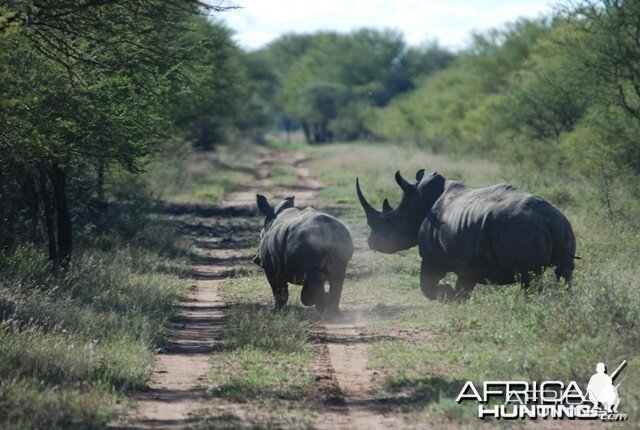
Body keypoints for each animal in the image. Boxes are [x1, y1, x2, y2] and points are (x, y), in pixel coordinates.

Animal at [358, 169, 576, 298]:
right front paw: (455, 296)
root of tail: (546, 217)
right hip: (561, 224)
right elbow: (463, 286)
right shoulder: (468, 261)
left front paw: (445, 293)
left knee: (529, 277)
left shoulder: (431, 258)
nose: (371, 241)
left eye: (389, 221)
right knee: (564, 270)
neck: (416, 204)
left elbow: (426, 285)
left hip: (520, 229)